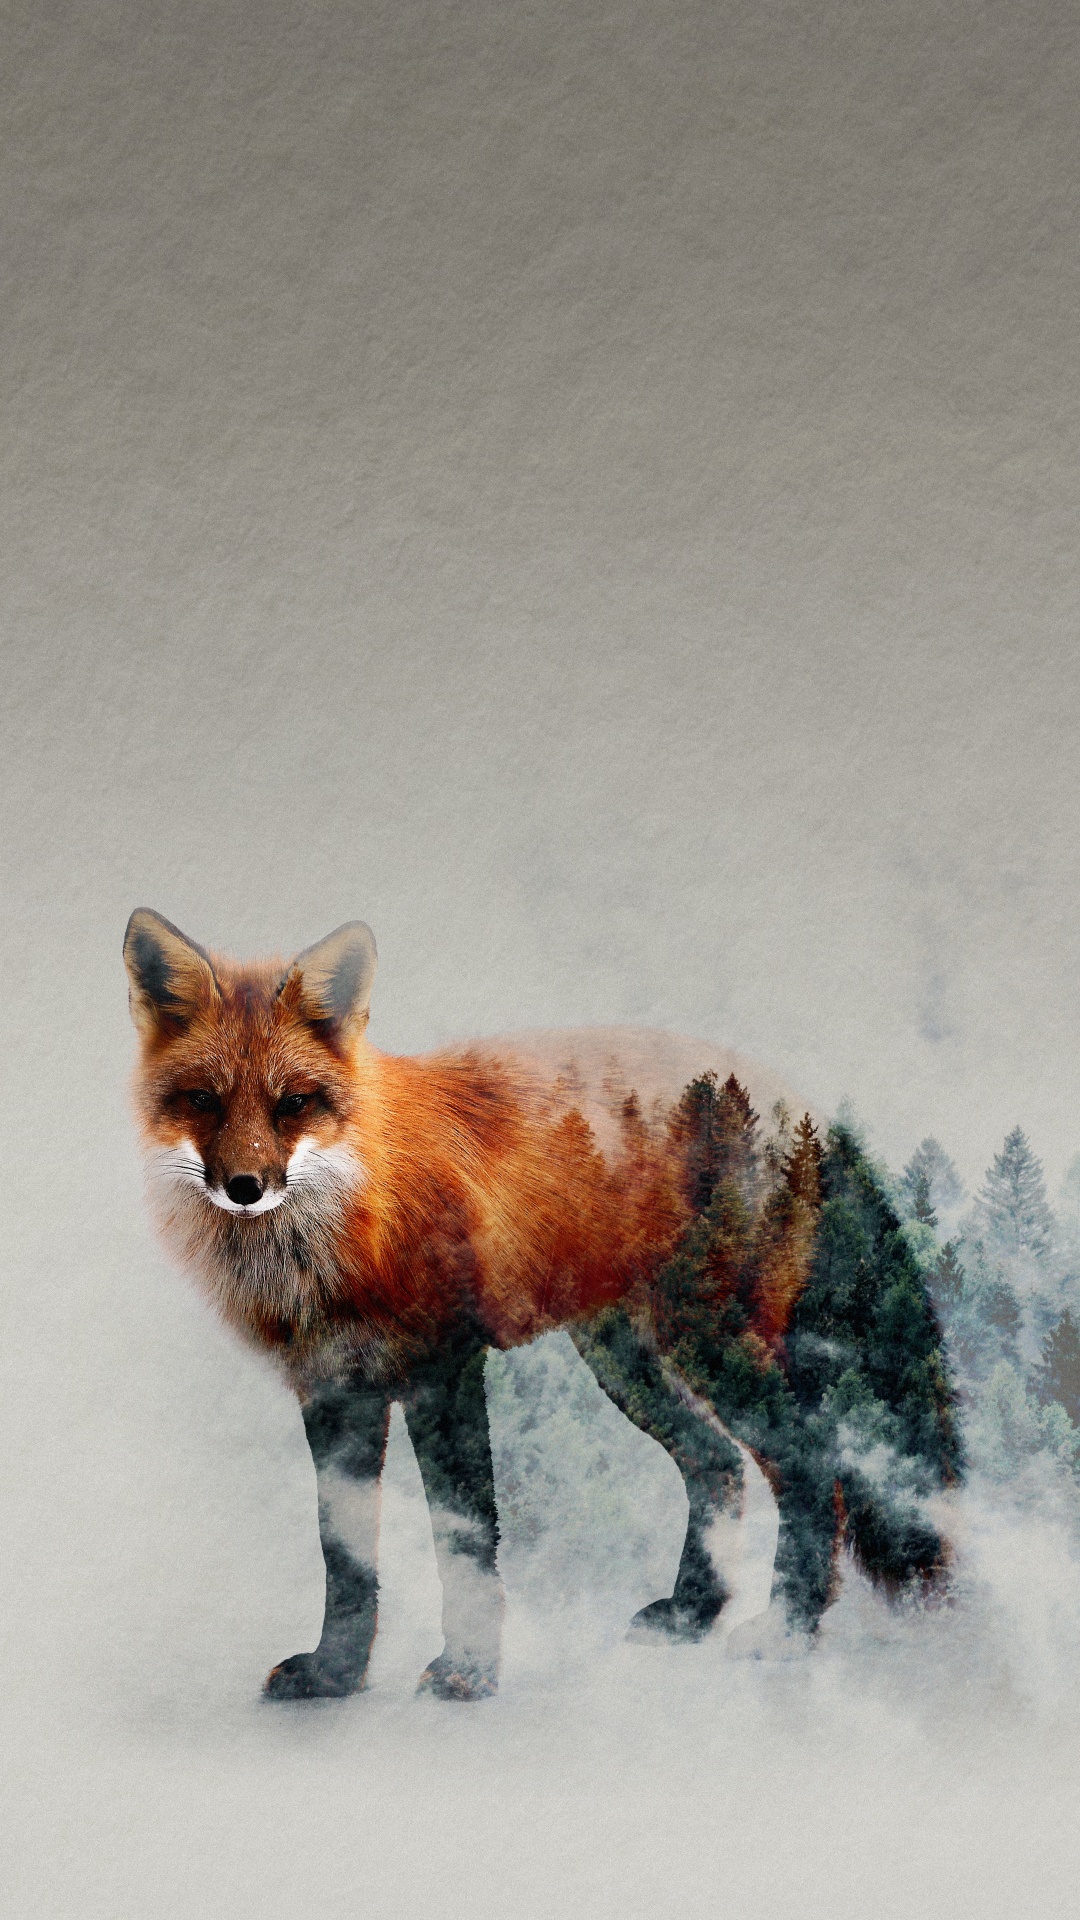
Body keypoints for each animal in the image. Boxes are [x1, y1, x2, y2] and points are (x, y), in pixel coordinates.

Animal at [124, 909, 960, 1701]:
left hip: (712, 1345)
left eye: (294, 1103)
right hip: (627, 1360)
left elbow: (463, 1542)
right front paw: (337, 1676)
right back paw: (695, 1612)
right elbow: (347, 1559)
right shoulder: (332, 1393)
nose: (245, 1188)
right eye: (203, 1101)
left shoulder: (445, 1372)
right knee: (718, 1465)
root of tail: (795, 1101)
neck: (340, 1236)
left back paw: (790, 1627)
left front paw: (468, 1673)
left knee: (816, 1465)